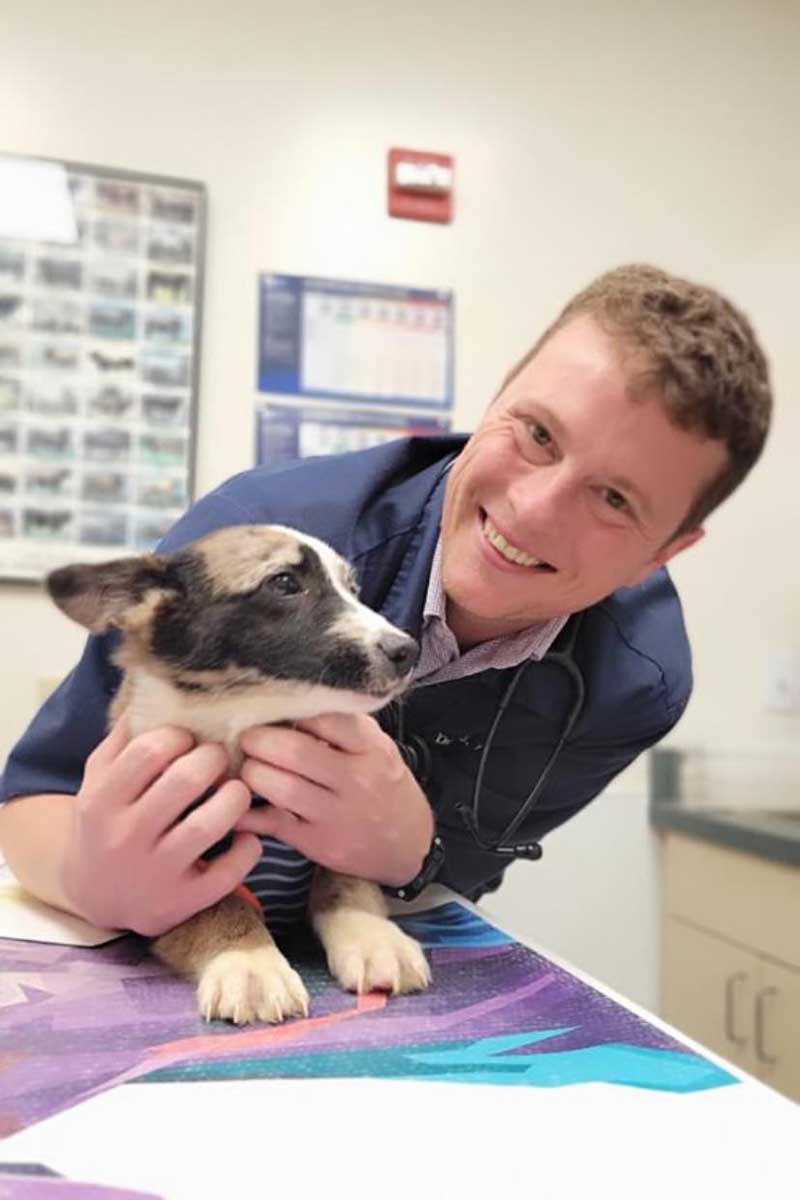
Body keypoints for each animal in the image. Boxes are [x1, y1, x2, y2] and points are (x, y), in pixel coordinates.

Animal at [47, 525, 434, 1022]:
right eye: (285, 583)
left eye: (353, 588)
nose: (408, 650)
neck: (243, 719)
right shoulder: (170, 868)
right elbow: (221, 903)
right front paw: (250, 963)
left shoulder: (333, 830)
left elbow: (345, 878)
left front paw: (372, 936)